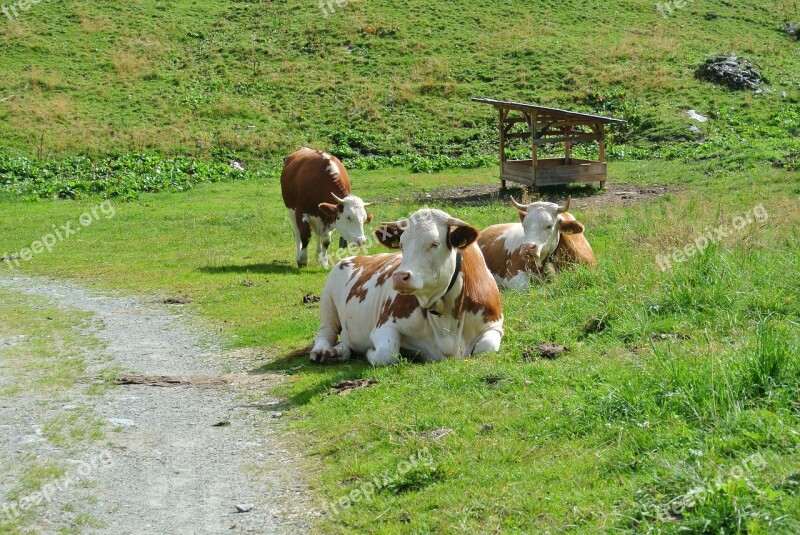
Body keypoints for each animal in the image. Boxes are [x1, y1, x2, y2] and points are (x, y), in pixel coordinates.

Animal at [310, 207, 504, 366]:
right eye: (402, 245)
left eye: (435, 244)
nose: (399, 277)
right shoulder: (384, 326)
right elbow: (387, 353)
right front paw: (370, 352)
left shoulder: (494, 325)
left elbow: (486, 347)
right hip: (327, 301)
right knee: (325, 331)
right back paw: (323, 351)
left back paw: (339, 351)